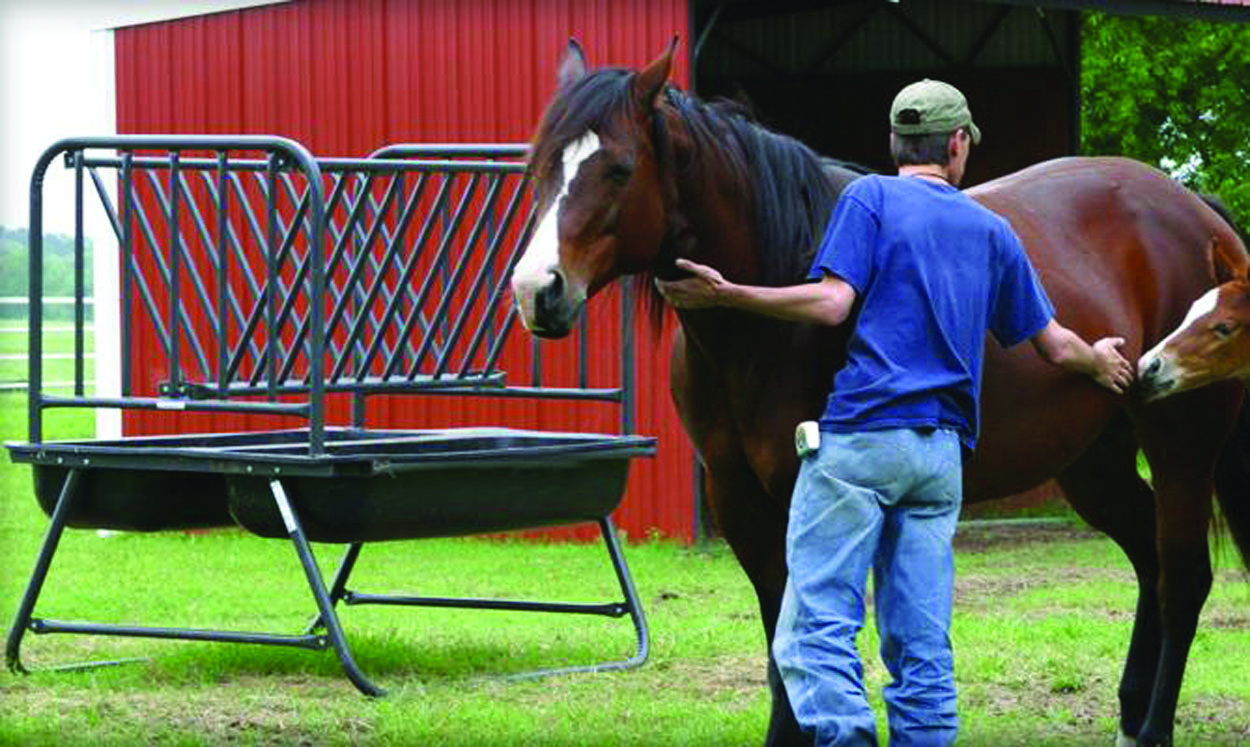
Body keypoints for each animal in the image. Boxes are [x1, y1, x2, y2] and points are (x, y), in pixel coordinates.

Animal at [510, 42, 1250, 747]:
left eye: (619, 169)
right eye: (539, 168)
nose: (536, 290)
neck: (772, 303)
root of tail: (1197, 214)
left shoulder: (812, 495)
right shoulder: (738, 498)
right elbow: (779, 633)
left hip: (1181, 447)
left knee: (1184, 578)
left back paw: (1153, 728)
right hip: (1094, 463)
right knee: (1151, 560)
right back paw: (1129, 717)